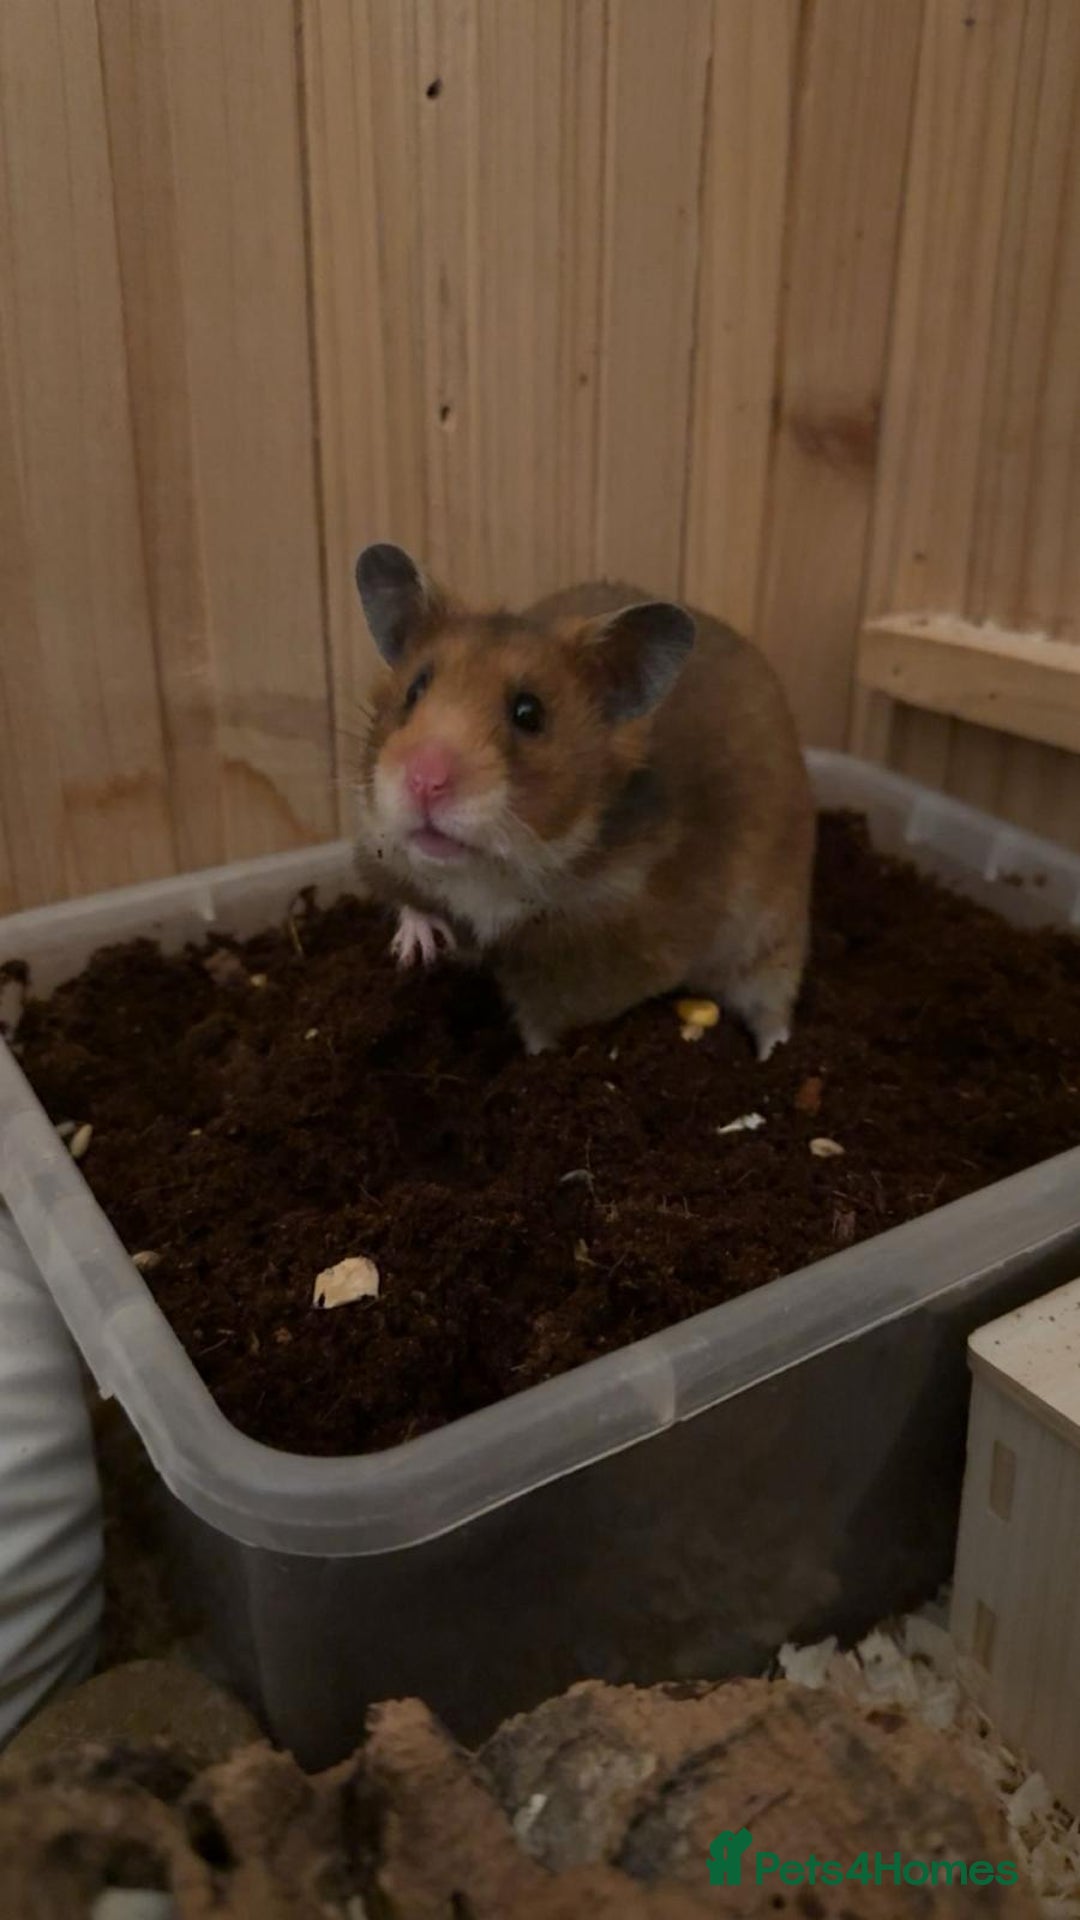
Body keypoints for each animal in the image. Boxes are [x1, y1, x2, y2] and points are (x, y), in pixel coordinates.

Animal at [351, 542, 815, 1059]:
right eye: (414, 690)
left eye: (529, 713)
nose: (423, 781)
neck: (494, 873)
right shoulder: (380, 849)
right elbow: (410, 900)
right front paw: (418, 949)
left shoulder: (599, 963)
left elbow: (544, 1021)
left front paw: (536, 1059)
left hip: (775, 932)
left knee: (773, 1005)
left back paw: (771, 1055)